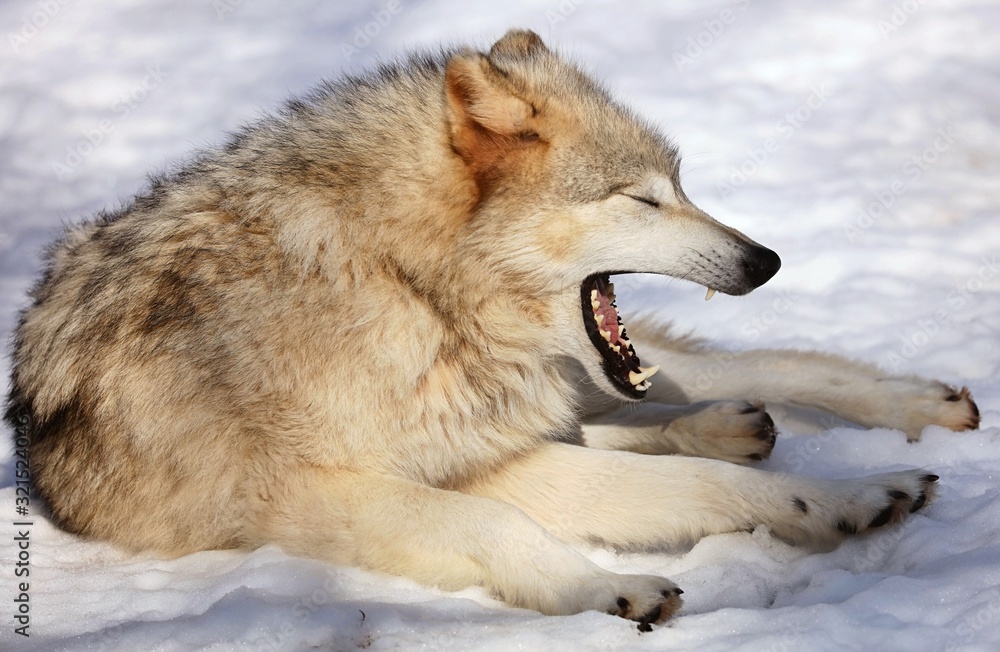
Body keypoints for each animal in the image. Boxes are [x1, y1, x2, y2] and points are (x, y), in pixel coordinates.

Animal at [6, 29, 980, 627]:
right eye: (641, 199)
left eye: (682, 186)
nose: (765, 259)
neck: (409, 287)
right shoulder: (324, 493)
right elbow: (515, 522)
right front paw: (615, 589)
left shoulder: (480, 451)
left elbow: (696, 479)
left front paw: (854, 493)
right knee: (650, 420)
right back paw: (728, 427)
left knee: (746, 369)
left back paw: (913, 404)